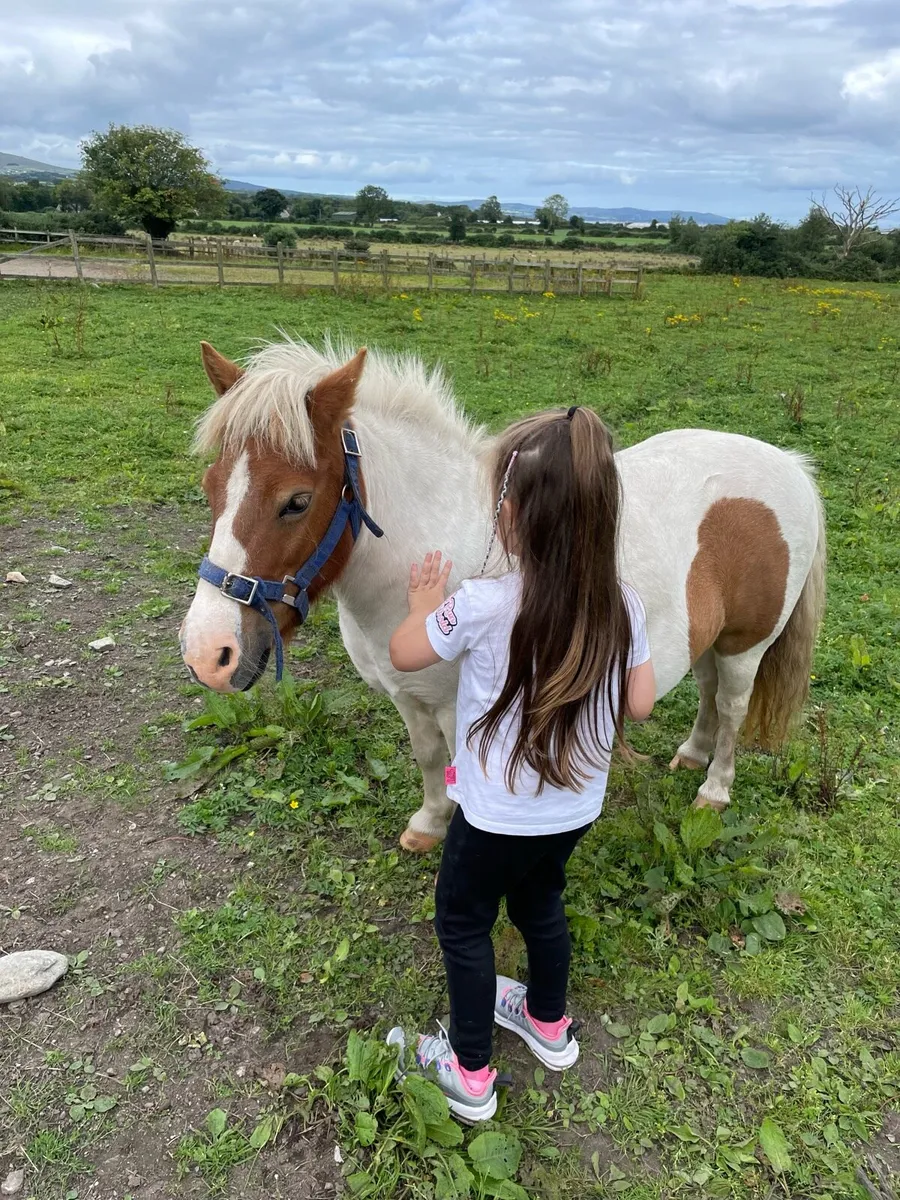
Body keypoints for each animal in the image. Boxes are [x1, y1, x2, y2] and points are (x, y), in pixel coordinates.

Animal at [180, 338, 826, 852]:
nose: (208, 655)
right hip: (709, 637)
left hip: (747, 646)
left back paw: (713, 789)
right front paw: (428, 825)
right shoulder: (408, 698)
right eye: (210, 486)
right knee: (709, 691)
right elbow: (429, 760)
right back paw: (691, 752)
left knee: (734, 706)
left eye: (296, 501)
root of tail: (789, 464)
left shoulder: (457, 706)